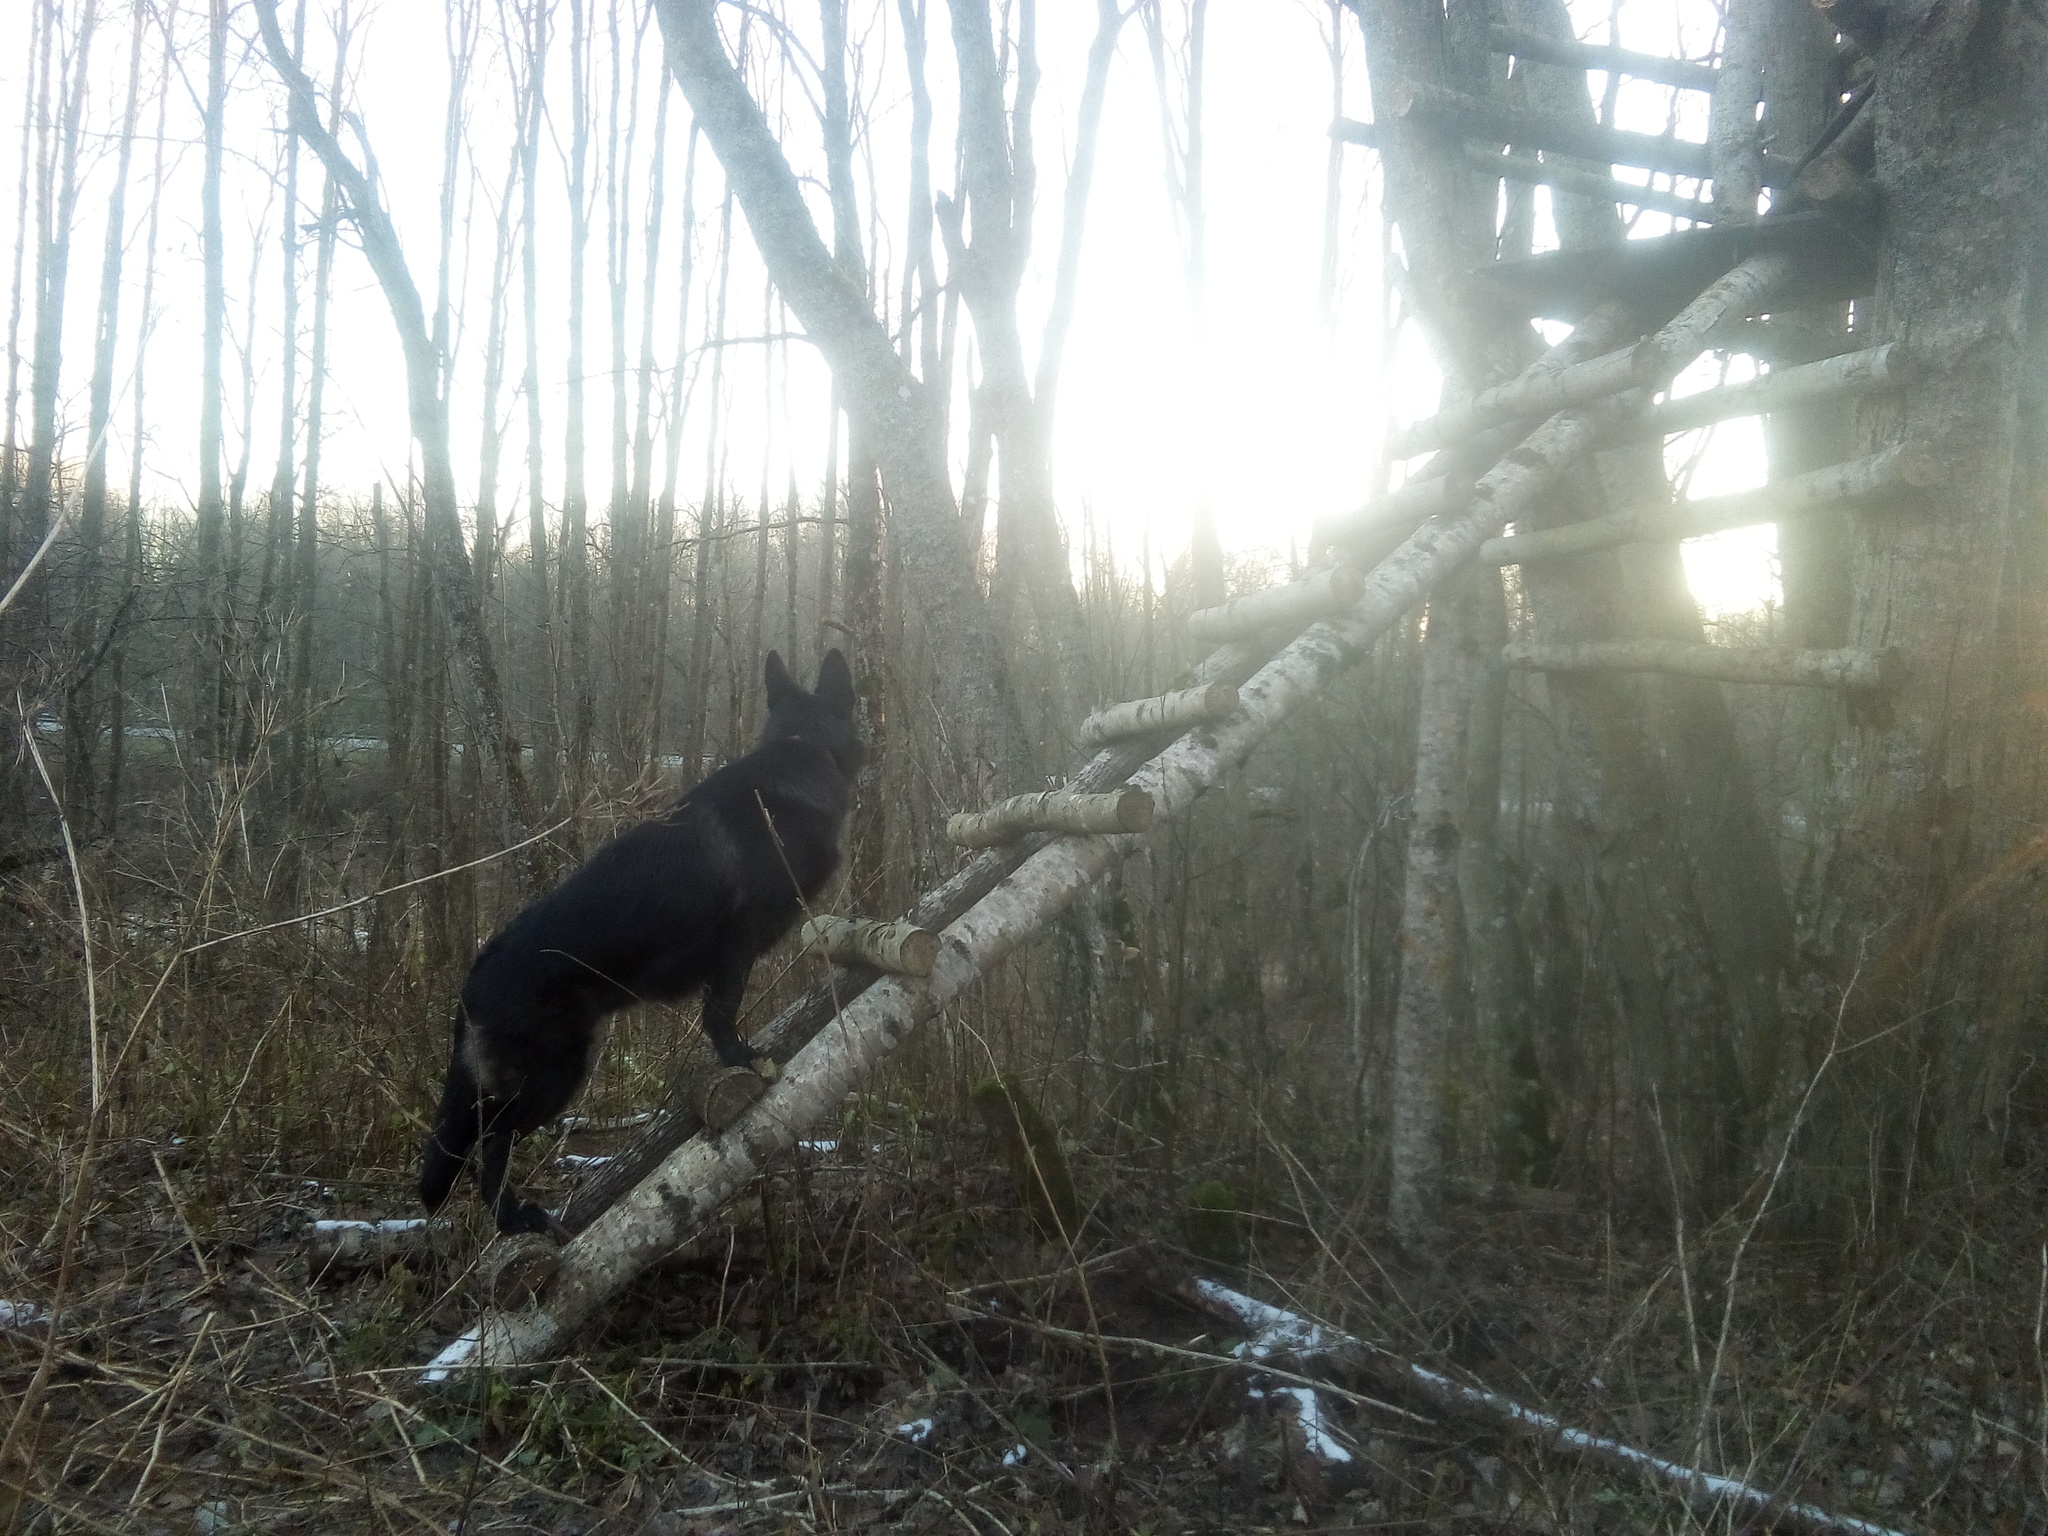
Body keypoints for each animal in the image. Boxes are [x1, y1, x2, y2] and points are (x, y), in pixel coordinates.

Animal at [415, 651, 864, 1236]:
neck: (801, 748)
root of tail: (476, 972)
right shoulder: (736, 946)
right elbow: (722, 1012)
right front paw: (741, 1058)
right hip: (555, 1074)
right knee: (492, 1136)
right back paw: (515, 1219)